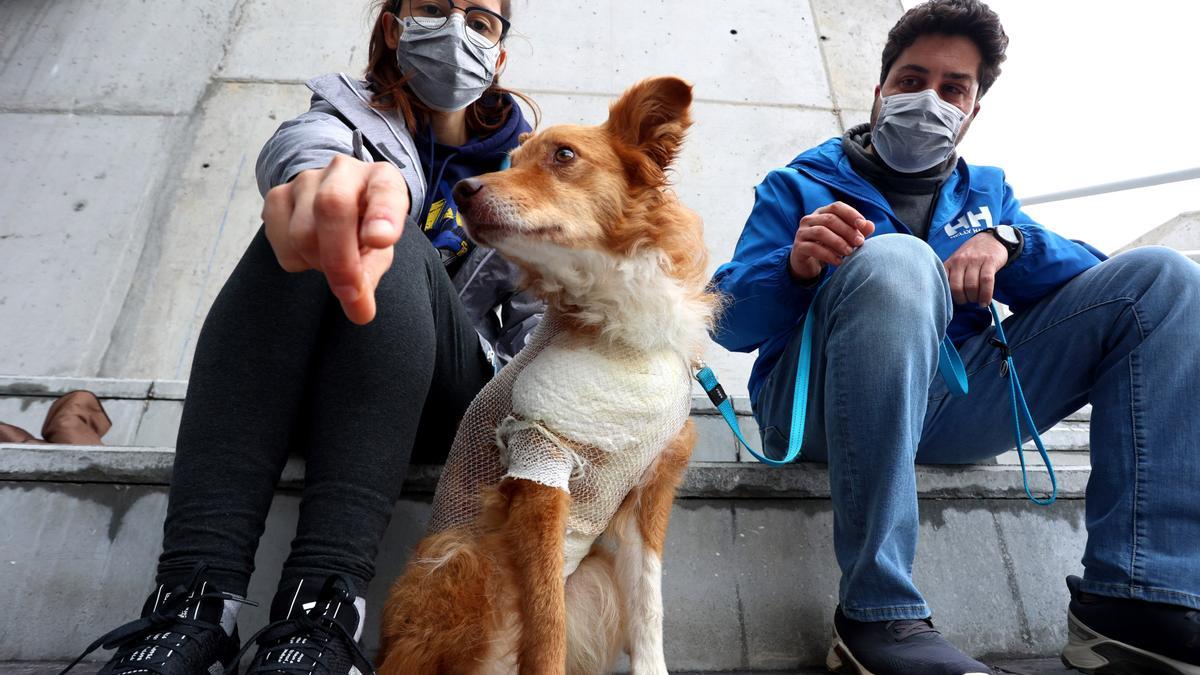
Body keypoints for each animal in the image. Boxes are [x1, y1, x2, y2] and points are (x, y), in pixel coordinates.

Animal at [376, 76, 710, 672]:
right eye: (513, 160)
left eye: (564, 155)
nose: (462, 191)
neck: (614, 325)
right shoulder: (539, 462)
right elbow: (545, 630)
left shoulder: (652, 485)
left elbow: (648, 608)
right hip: (460, 554)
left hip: (591, 574)